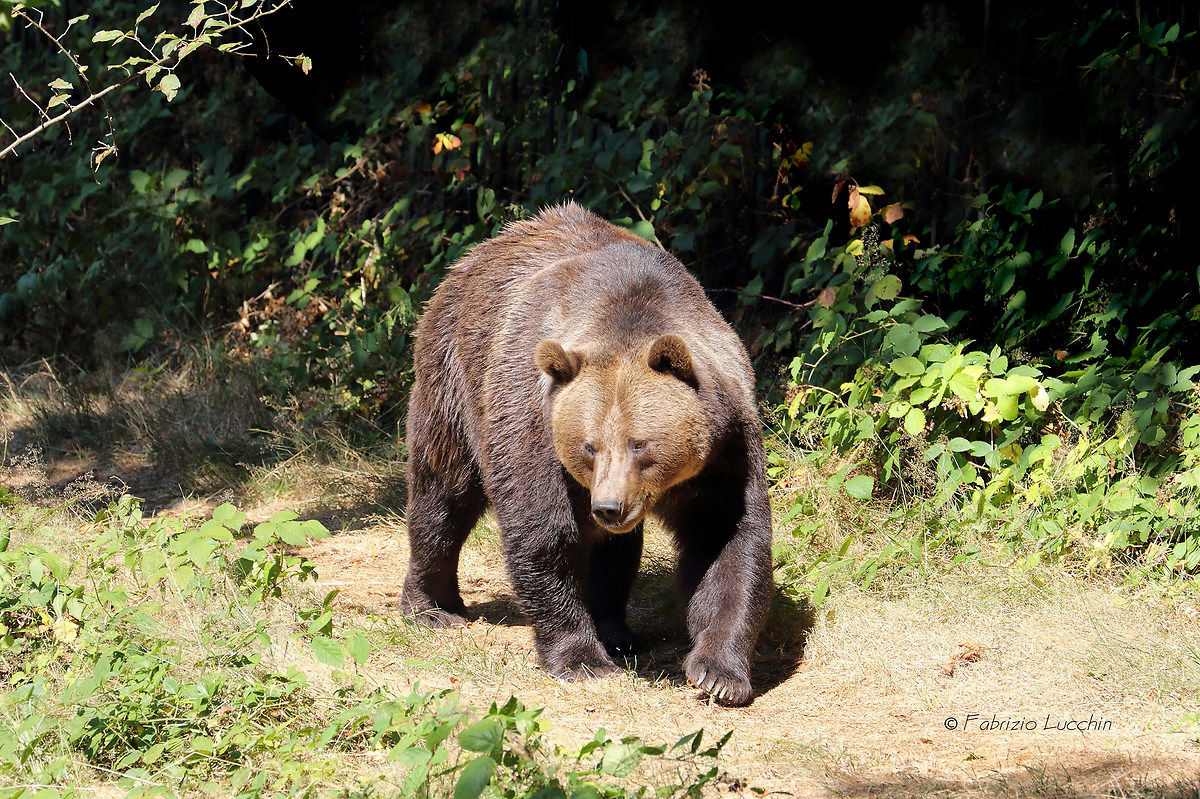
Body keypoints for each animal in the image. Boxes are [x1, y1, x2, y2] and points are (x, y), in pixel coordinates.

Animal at [400, 201, 773, 705]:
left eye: (641, 443)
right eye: (588, 445)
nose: (609, 506)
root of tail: (471, 257)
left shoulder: (724, 445)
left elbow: (726, 539)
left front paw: (719, 672)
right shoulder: (535, 424)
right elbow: (545, 534)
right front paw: (581, 659)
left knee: (613, 550)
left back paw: (616, 630)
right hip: (453, 381)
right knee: (443, 496)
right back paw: (431, 606)